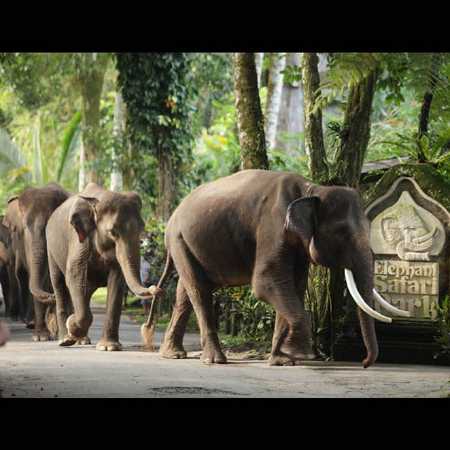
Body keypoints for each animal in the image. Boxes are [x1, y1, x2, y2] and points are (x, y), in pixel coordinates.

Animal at [45, 181, 161, 350]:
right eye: (112, 232)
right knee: (59, 284)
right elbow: (74, 274)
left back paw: (80, 339)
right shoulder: (78, 239)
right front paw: (71, 326)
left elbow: (117, 280)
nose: (156, 289)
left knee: (85, 291)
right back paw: (64, 339)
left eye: (142, 228)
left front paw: (109, 347)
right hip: (51, 249)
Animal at [149, 169, 410, 370]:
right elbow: (266, 282)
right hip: (179, 239)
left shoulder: (298, 244)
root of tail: (173, 215)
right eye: (342, 232)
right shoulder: (272, 227)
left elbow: (294, 285)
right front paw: (297, 353)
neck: (311, 189)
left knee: (185, 292)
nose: (365, 363)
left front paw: (282, 360)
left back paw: (173, 354)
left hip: (187, 244)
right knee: (199, 290)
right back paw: (215, 360)